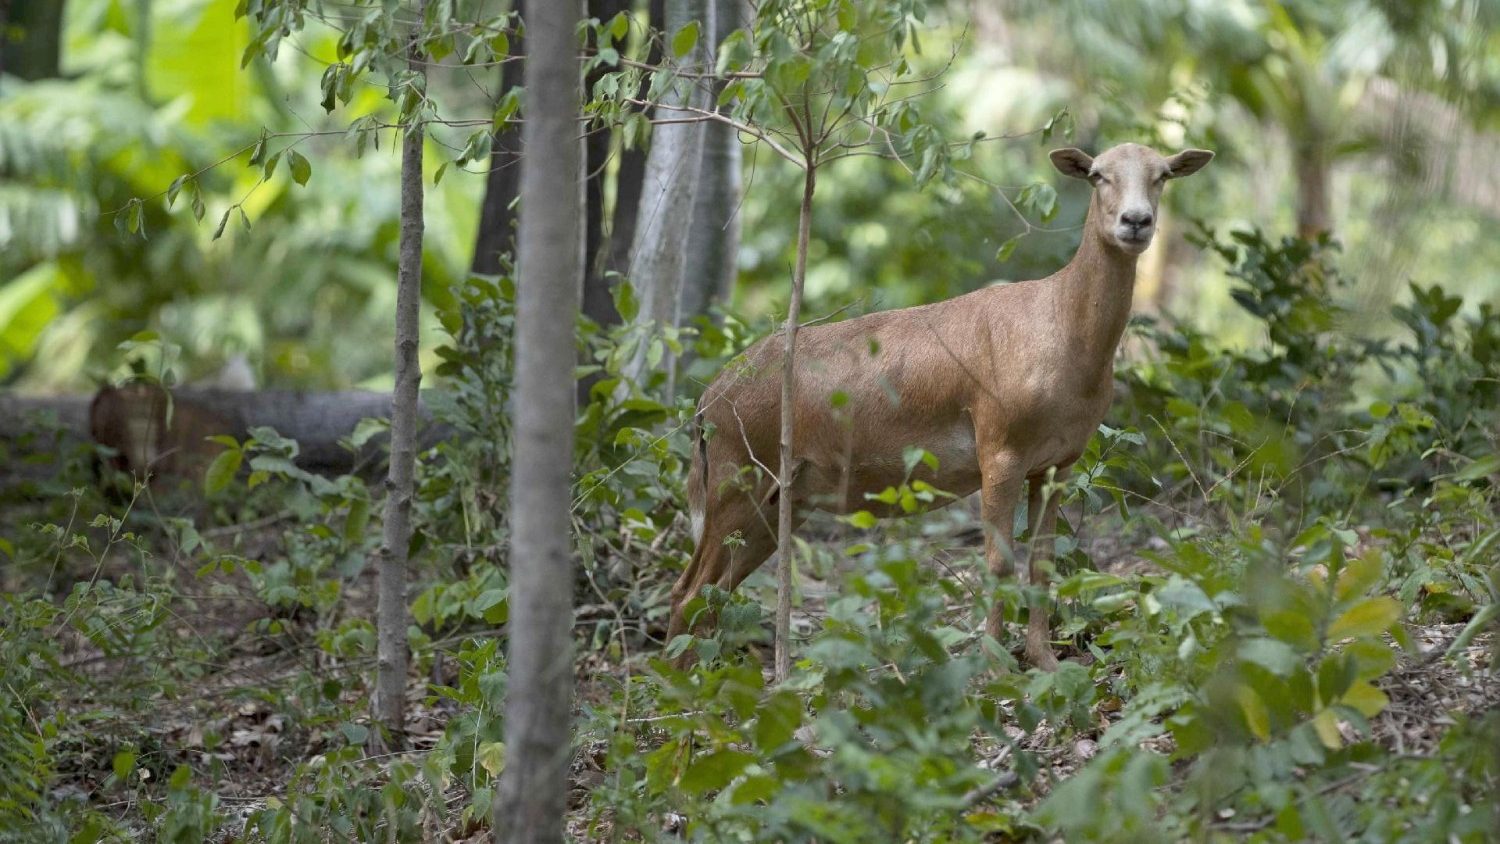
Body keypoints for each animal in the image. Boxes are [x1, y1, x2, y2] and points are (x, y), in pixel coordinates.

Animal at [675, 143, 1212, 668]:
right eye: (1098, 174)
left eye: (1163, 174)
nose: (1136, 221)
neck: (1065, 344)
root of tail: (704, 404)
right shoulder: (998, 445)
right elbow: (998, 562)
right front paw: (995, 669)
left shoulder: (1059, 461)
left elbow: (1043, 560)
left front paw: (1045, 662)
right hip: (736, 480)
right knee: (689, 590)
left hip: (781, 498)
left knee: (709, 589)